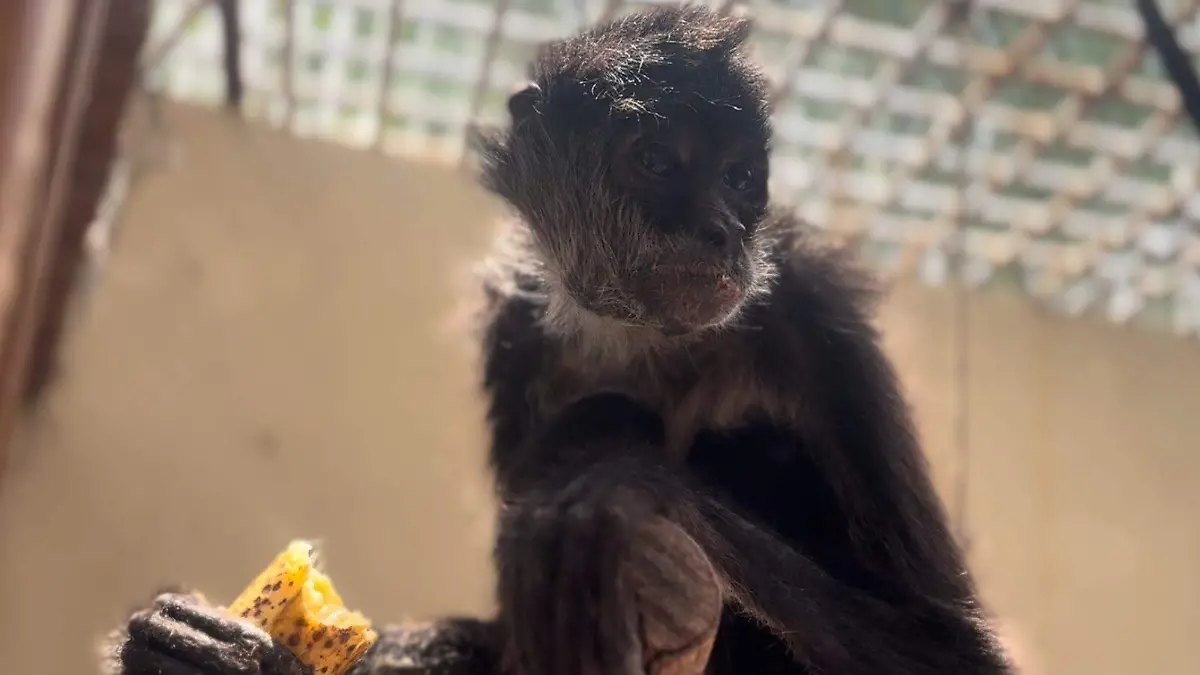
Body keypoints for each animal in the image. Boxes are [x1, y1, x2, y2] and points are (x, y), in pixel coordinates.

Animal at [101, 6, 1013, 675]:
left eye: (740, 179)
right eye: (657, 161)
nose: (721, 229)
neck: (650, 340)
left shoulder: (818, 314)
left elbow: (952, 651)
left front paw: (620, 486)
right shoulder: (515, 326)